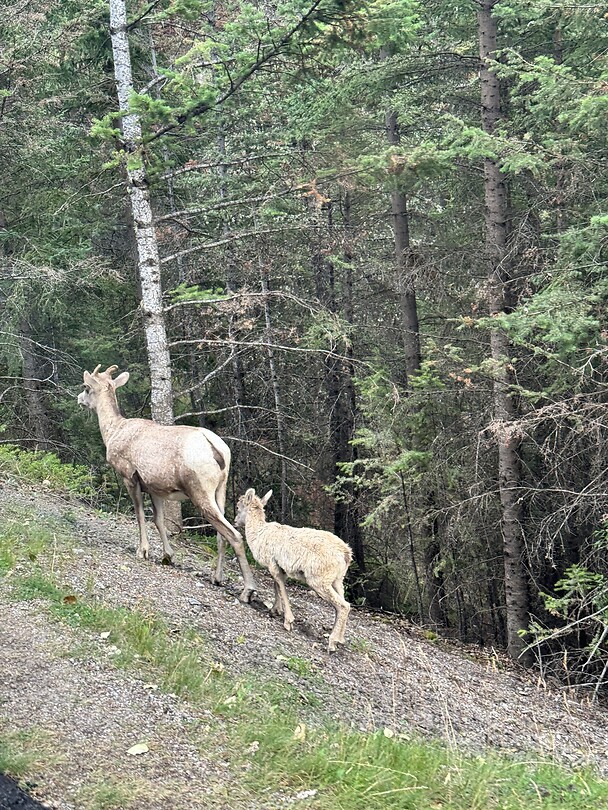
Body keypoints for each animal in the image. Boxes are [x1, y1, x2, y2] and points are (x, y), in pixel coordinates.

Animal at [77, 364, 257, 603]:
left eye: (86, 387)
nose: (79, 399)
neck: (113, 431)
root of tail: (219, 451)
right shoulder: (155, 488)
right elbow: (159, 521)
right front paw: (168, 556)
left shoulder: (130, 476)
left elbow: (140, 515)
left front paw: (142, 551)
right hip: (221, 489)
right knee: (222, 535)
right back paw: (216, 578)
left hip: (200, 491)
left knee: (234, 535)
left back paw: (248, 591)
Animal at [234, 488, 352, 651]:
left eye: (238, 507)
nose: (234, 521)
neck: (258, 534)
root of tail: (346, 553)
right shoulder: (277, 566)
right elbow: (276, 586)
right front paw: (275, 610)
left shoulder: (273, 566)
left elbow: (281, 587)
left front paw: (288, 622)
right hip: (337, 581)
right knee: (343, 604)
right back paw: (340, 639)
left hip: (319, 581)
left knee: (343, 606)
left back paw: (332, 643)